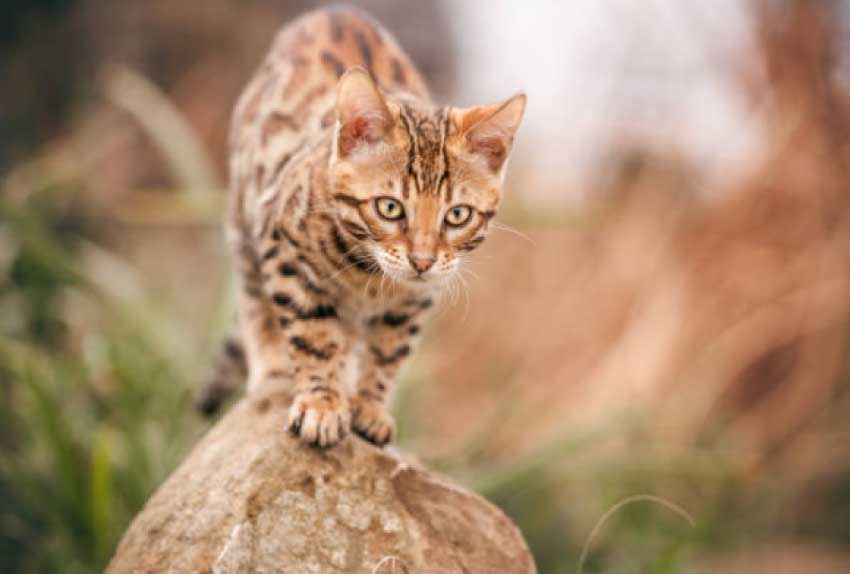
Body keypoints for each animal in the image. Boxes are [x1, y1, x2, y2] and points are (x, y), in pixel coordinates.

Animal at [200, 6, 528, 450]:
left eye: (457, 215)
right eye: (390, 208)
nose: (422, 261)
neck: (368, 280)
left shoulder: (416, 299)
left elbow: (389, 351)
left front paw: (370, 407)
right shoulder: (283, 249)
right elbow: (312, 335)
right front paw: (321, 404)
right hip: (243, 216)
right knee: (255, 300)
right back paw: (273, 369)